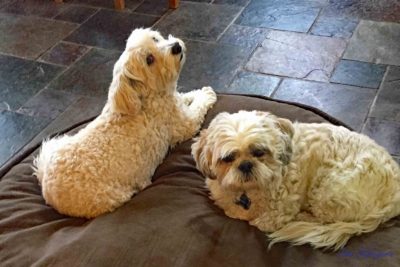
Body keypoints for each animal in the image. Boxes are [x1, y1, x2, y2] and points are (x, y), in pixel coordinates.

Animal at [33, 28, 217, 219]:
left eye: (155, 38)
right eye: (149, 59)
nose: (176, 47)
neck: (144, 98)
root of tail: (47, 191)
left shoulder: (176, 102)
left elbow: (185, 96)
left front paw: (196, 93)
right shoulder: (183, 124)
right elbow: (197, 109)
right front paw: (207, 95)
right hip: (112, 197)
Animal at [191, 111, 400, 251]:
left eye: (259, 152)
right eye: (228, 158)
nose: (245, 165)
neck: (247, 191)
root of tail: (394, 200)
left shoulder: (275, 215)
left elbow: (252, 220)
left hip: (329, 189)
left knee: (325, 218)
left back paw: (304, 217)